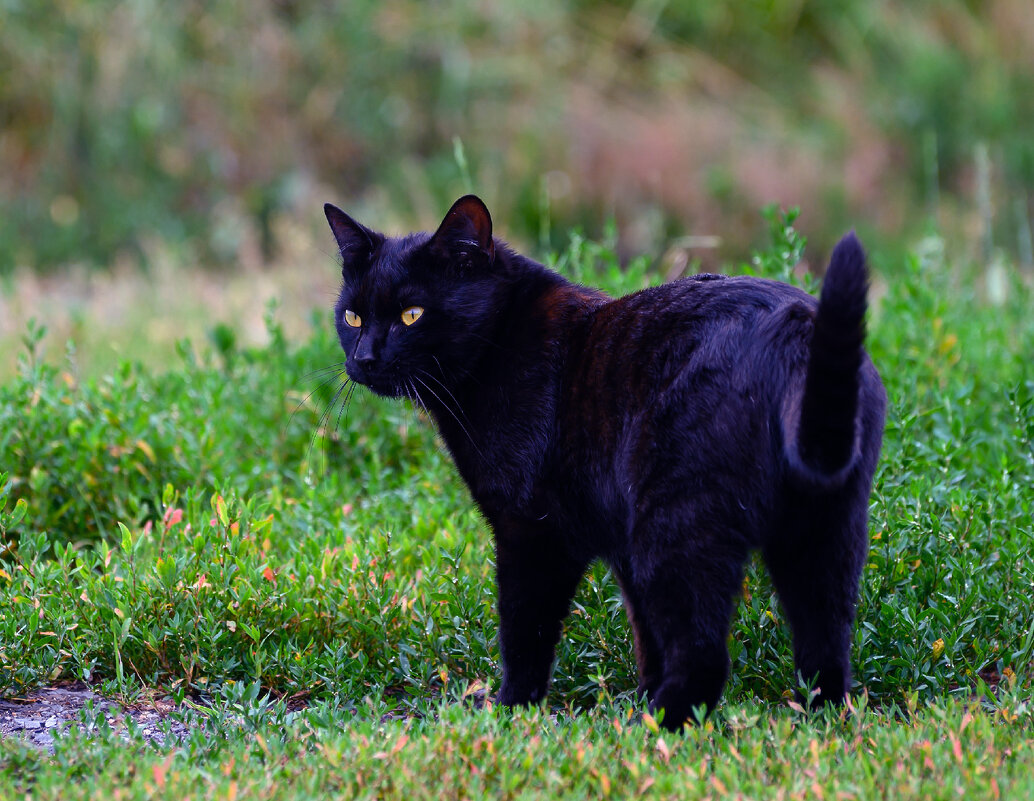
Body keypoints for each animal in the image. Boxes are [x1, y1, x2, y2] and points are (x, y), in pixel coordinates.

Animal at [324, 195, 889, 731]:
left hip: (679, 524)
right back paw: (815, 718)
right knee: (825, 643)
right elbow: (646, 636)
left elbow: (524, 629)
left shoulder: (532, 532)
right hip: (824, 530)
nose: (364, 359)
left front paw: (511, 708)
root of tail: (792, 329)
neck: (501, 341)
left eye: (411, 315)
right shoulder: (622, 547)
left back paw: (656, 726)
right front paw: (638, 694)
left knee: (705, 654)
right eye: (352, 317)